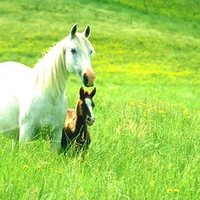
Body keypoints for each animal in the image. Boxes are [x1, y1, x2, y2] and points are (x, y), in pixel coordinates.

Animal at [0, 23, 95, 152]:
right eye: (73, 50)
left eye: (90, 51)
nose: (90, 77)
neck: (48, 96)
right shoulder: (26, 135)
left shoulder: (56, 135)